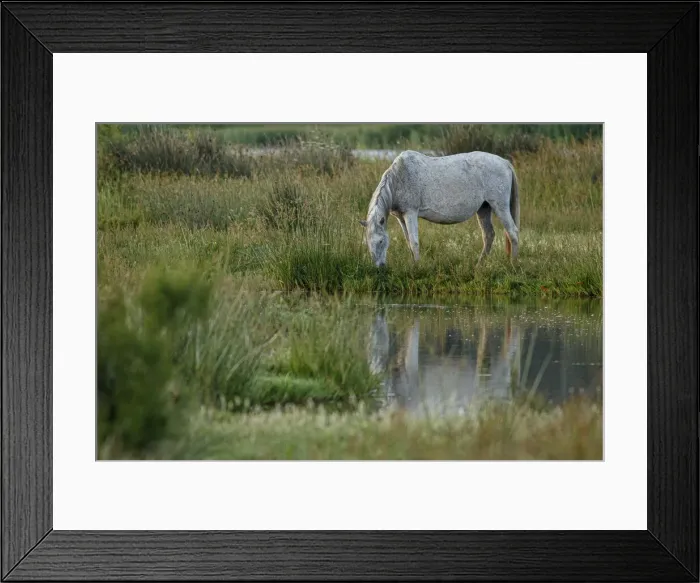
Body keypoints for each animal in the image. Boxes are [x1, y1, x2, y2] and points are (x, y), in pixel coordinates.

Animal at [359, 150, 520, 268]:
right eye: (367, 242)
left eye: (381, 241)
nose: (379, 268)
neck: (399, 179)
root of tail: (505, 163)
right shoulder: (400, 217)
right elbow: (409, 242)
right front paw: (413, 264)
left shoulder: (410, 213)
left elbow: (414, 242)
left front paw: (417, 267)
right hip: (484, 208)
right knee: (488, 235)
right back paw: (479, 266)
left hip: (500, 206)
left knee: (512, 232)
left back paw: (513, 265)